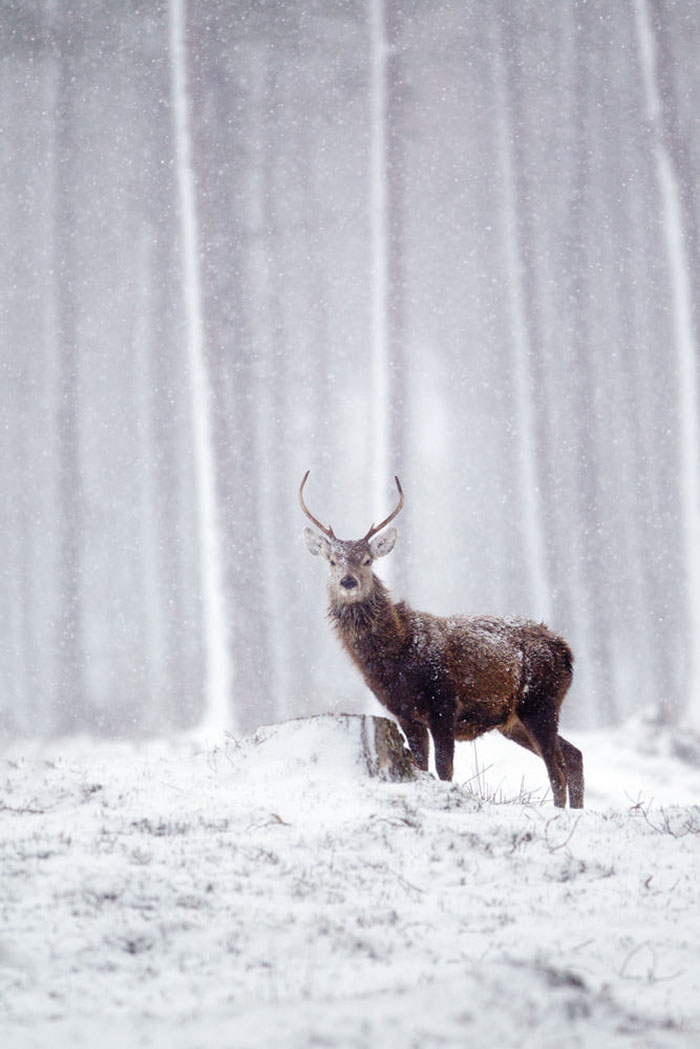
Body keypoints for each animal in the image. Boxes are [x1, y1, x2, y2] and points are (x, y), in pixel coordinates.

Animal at [300, 472, 584, 807]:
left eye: (368, 560)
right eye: (332, 561)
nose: (347, 581)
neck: (397, 659)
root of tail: (565, 651)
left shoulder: (444, 703)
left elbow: (444, 768)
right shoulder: (403, 713)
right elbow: (421, 766)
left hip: (541, 701)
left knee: (557, 768)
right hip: (514, 720)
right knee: (574, 755)